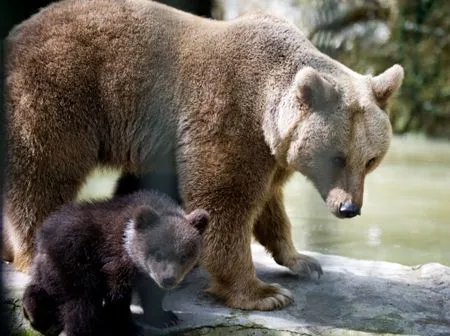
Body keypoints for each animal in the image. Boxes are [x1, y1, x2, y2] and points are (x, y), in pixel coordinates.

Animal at [2, 0, 404, 310]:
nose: (349, 208)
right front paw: (264, 293)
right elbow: (226, 200)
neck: (266, 106)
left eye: (370, 160)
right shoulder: (230, 117)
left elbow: (268, 203)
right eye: (336, 157)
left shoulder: (271, 150)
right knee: (44, 173)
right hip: (59, 90)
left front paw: (303, 261)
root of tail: (17, 34)